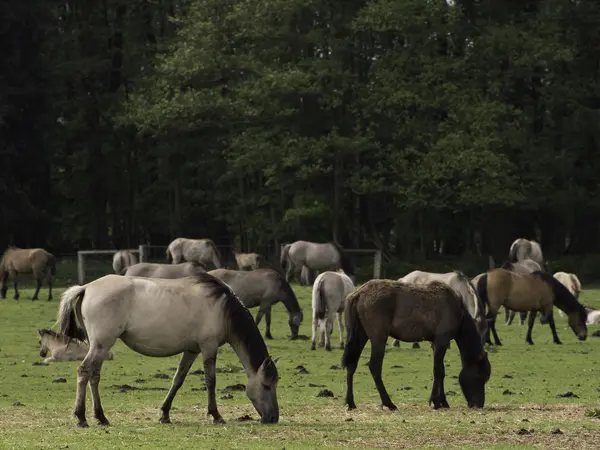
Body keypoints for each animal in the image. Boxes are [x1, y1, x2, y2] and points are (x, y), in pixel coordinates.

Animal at [56, 272, 282, 428]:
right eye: (266, 385)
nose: (273, 418)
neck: (222, 308)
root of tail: (86, 287)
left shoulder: (192, 350)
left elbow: (178, 379)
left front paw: (164, 414)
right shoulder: (208, 347)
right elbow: (210, 381)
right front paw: (216, 415)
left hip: (100, 347)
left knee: (94, 376)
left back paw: (101, 417)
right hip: (101, 344)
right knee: (84, 371)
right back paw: (81, 417)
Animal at [342, 280, 492, 414]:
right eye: (481, 376)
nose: (478, 404)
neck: (457, 310)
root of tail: (358, 294)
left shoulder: (435, 343)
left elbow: (441, 370)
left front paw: (443, 401)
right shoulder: (442, 341)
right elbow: (438, 370)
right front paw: (436, 401)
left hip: (360, 335)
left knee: (351, 365)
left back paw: (351, 402)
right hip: (378, 338)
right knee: (375, 367)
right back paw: (389, 403)